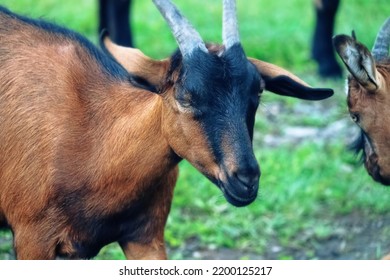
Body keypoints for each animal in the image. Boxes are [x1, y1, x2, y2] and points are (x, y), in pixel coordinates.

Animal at [0, 0, 332, 260]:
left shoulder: (146, 236)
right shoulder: (33, 240)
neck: (93, 137)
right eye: (185, 96)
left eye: (259, 90)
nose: (246, 179)